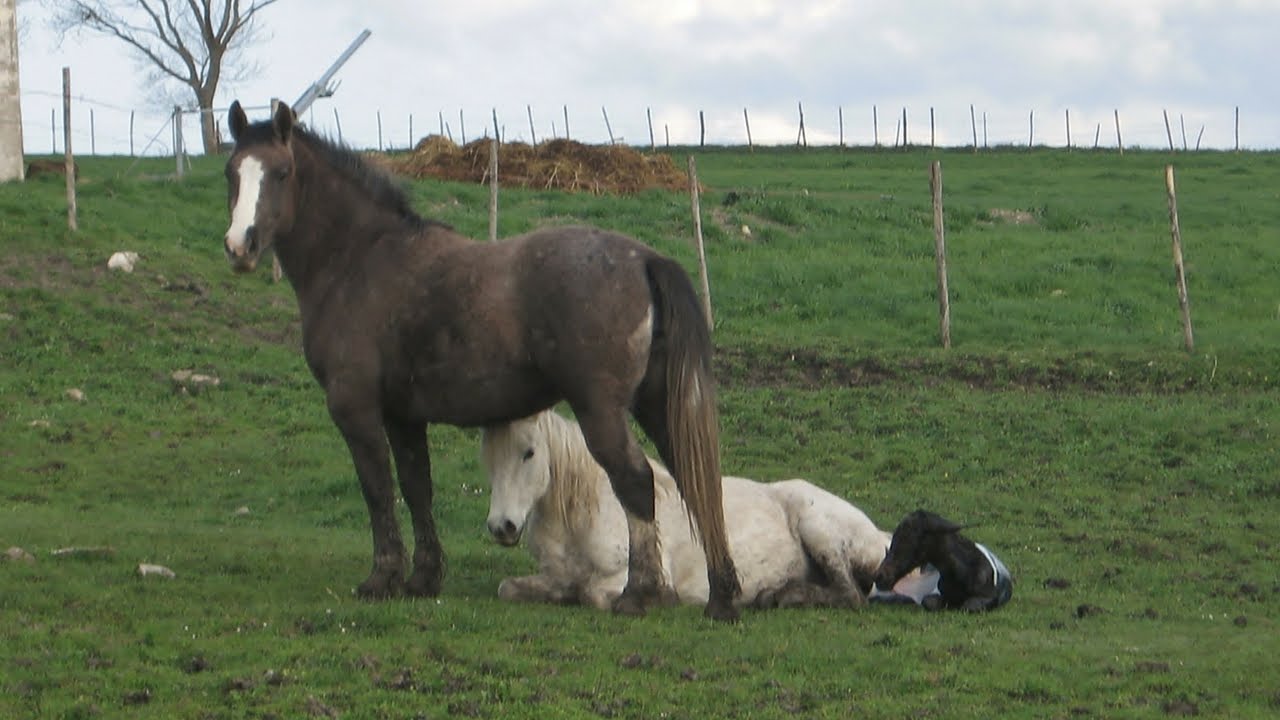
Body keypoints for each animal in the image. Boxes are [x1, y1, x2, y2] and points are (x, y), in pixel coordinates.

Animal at [220, 100, 741, 621]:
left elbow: (377, 489)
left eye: (282, 172)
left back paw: (639, 593)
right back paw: (723, 595)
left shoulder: (357, 410)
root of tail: (644, 259)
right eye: (232, 172)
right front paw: (423, 578)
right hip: (655, 404)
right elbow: (417, 487)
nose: (240, 245)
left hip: (602, 411)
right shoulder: (403, 417)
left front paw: (382, 578)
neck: (360, 261)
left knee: (636, 480)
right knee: (696, 482)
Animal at [481, 409, 897, 610]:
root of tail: (881, 536)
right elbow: (510, 588)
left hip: (817, 527)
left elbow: (592, 594)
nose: (502, 526)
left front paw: (664, 599)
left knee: (851, 596)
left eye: (528, 452)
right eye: (487, 453)